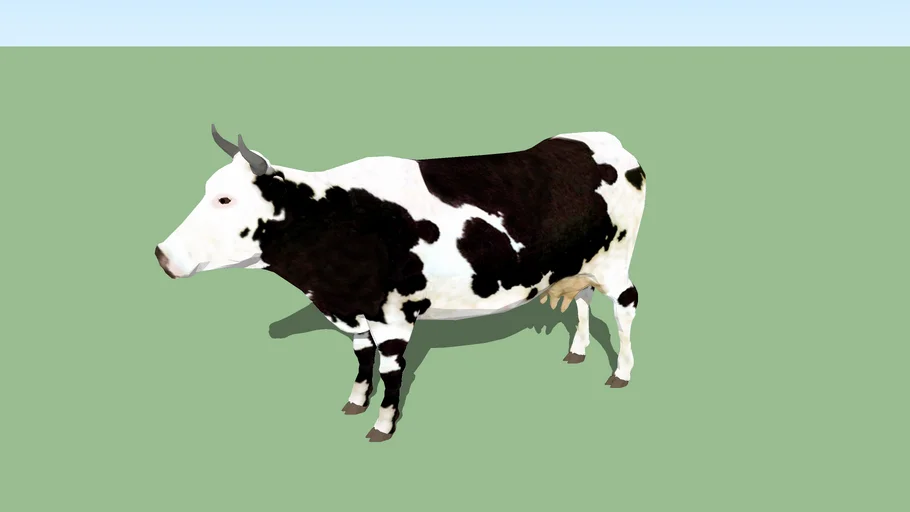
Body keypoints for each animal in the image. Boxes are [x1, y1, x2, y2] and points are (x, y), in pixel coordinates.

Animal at [155, 125, 647, 442]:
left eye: (225, 199)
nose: (162, 254)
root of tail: (605, 140)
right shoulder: (356, 310)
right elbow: (360, 357)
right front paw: (355, 400)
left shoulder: (393, 315)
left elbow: (392, 370)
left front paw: (382, 425)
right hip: (580, 265)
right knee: (582, 299)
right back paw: (577, 351)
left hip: (616, 260)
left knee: (626, 304)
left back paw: (622, 372)